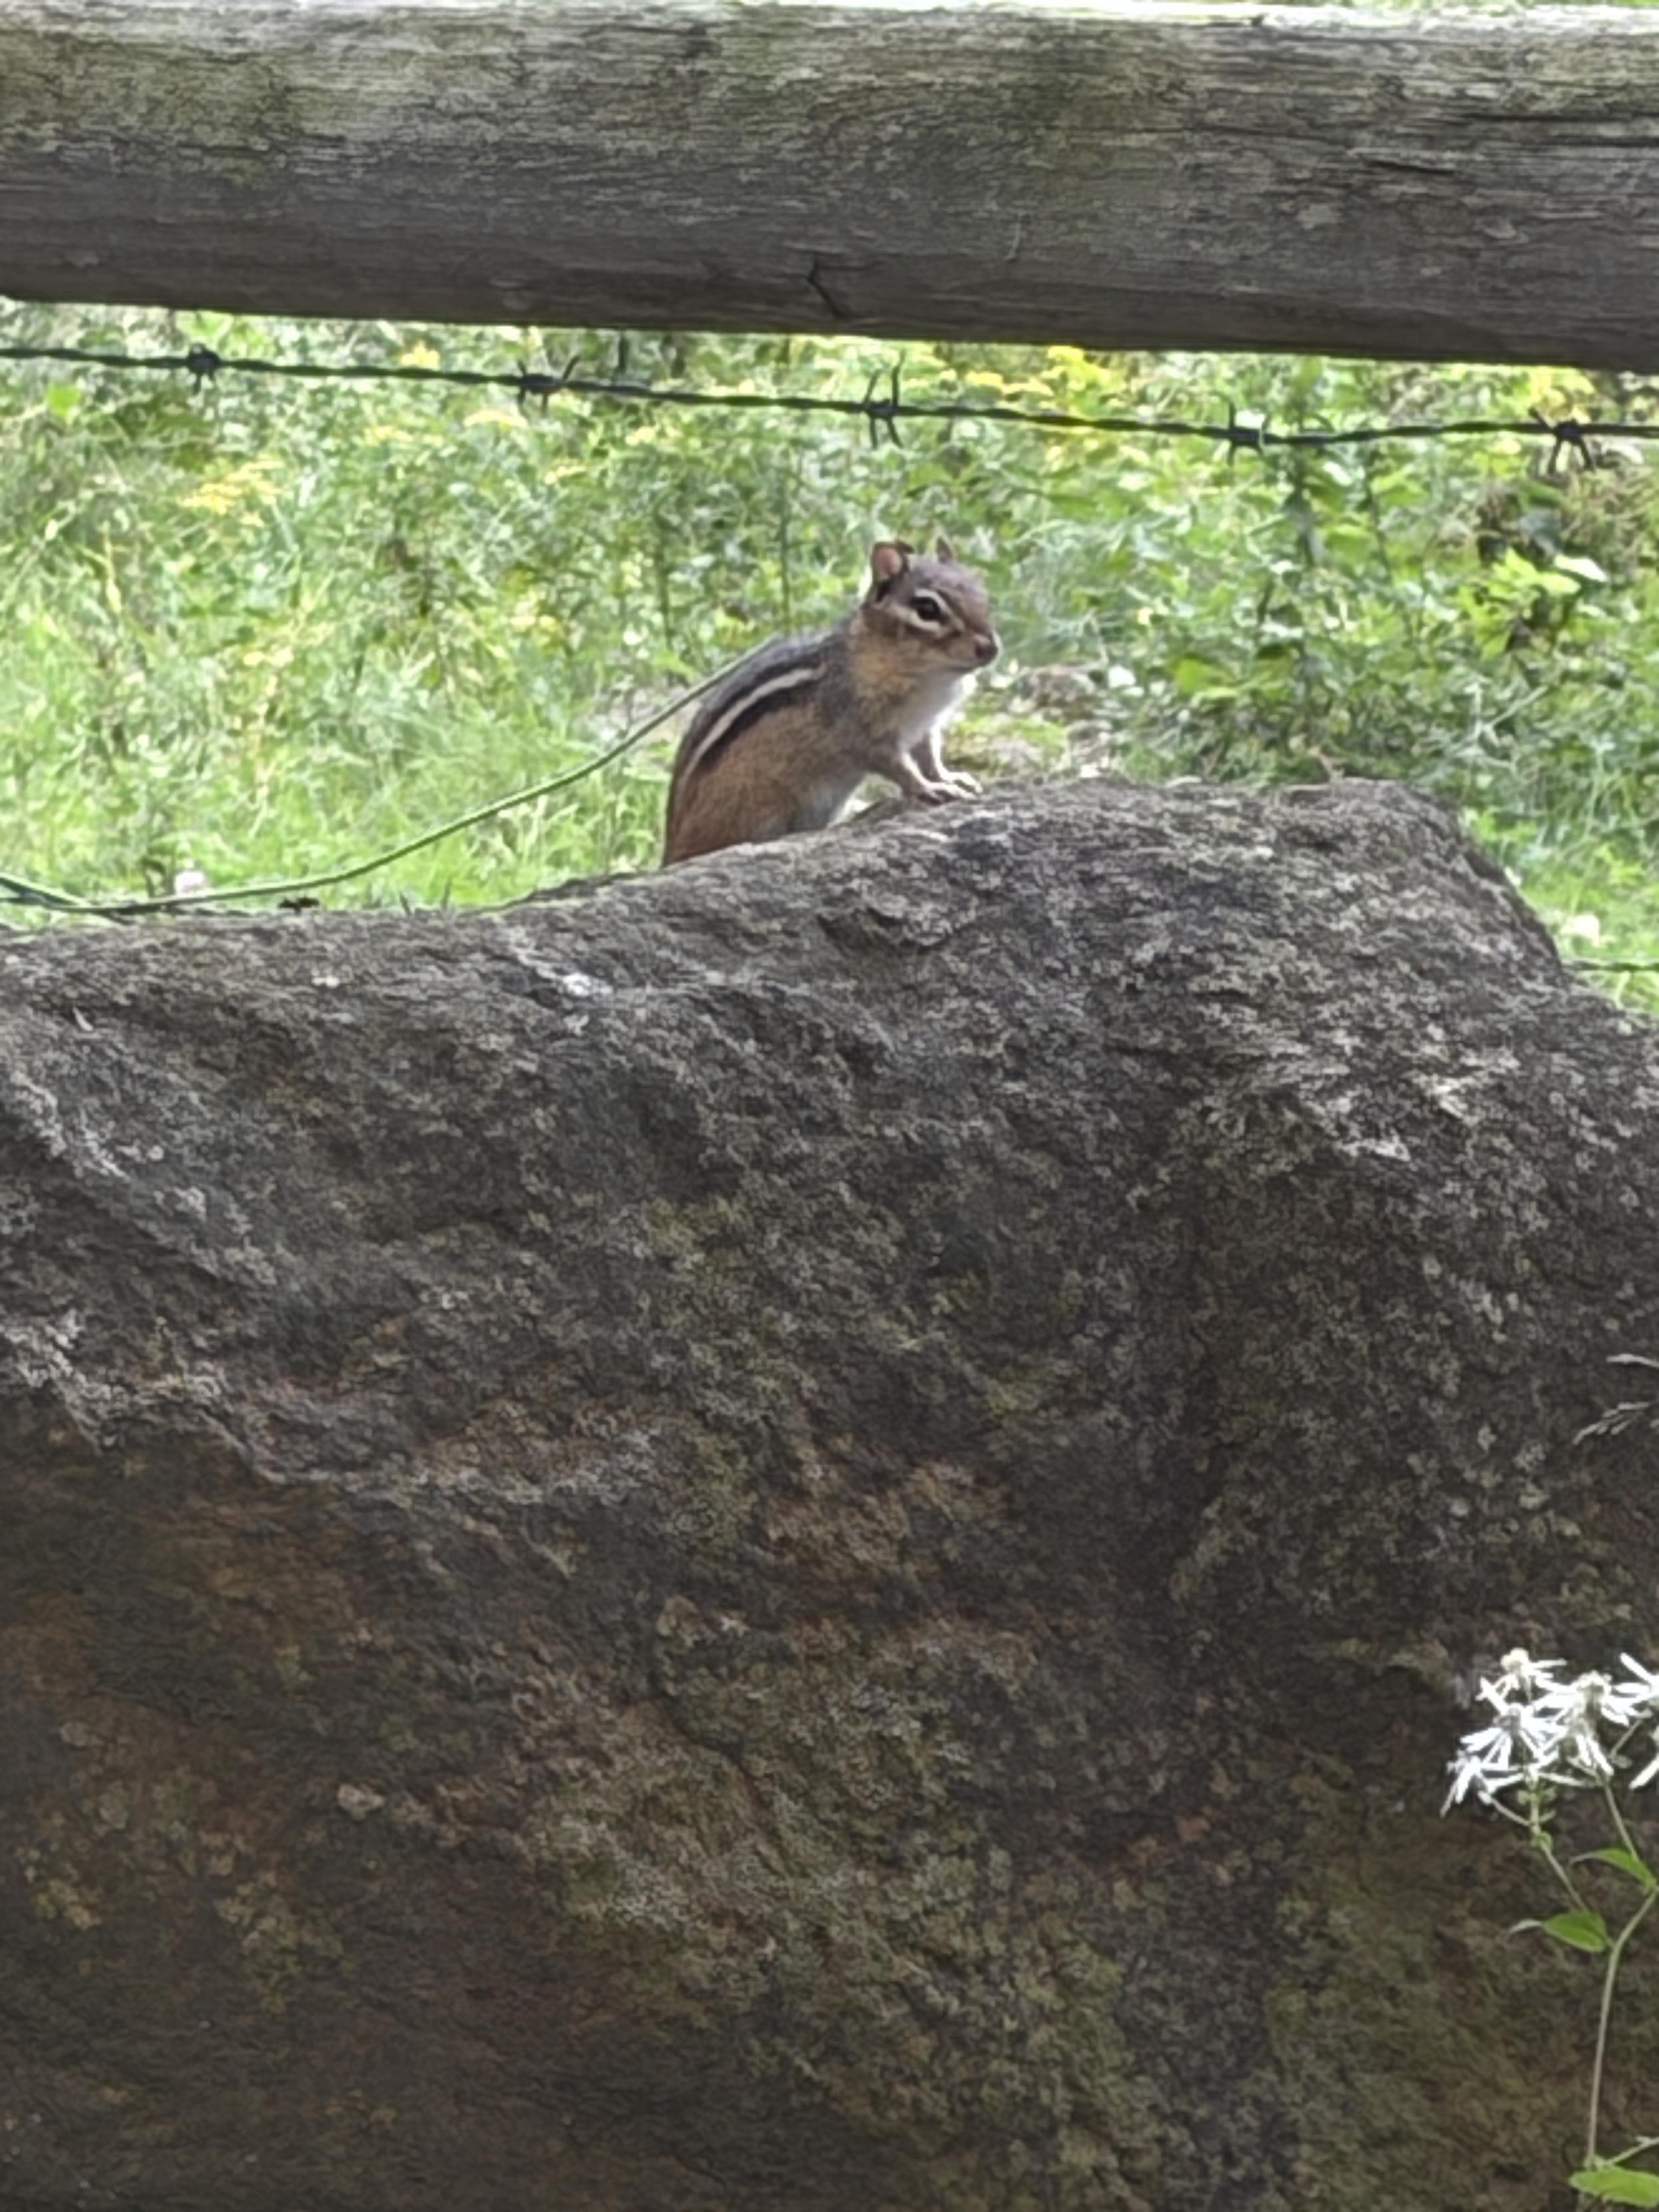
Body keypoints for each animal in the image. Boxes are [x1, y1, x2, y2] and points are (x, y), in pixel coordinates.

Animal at [661, 538, 999, 865]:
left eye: (983, 593)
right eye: (927, 609)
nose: (991, 648)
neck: (931, 678)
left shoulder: (926, 724)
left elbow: (929, 757)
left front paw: (951, 777)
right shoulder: (858, 726)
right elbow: (899, 766)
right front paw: (930, 788)